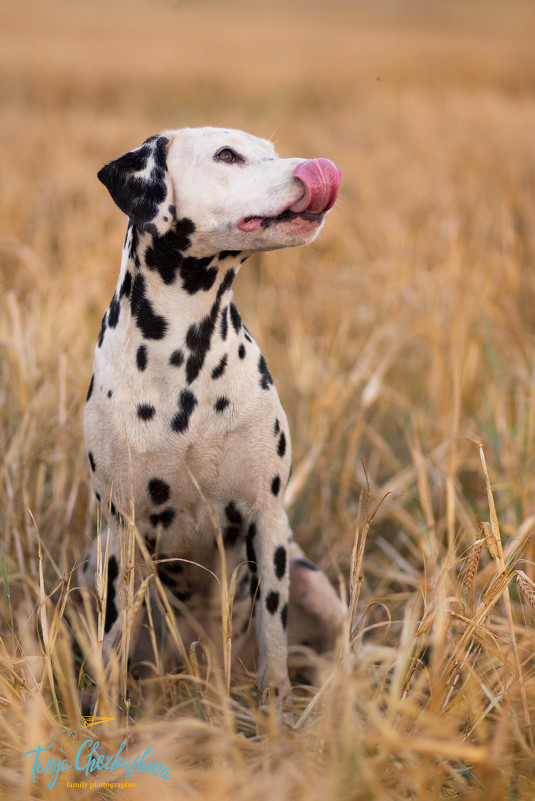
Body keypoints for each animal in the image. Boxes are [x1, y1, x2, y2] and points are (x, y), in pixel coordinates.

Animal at [84, 126, 344, 700]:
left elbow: (272, 631)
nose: (318, 167)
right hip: (94, 561)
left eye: (272, 151)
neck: (186, 359)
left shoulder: (266, 520)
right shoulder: (123, 532)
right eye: (227, 155)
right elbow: (111, 643)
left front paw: (277, 707)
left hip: (314, 584)